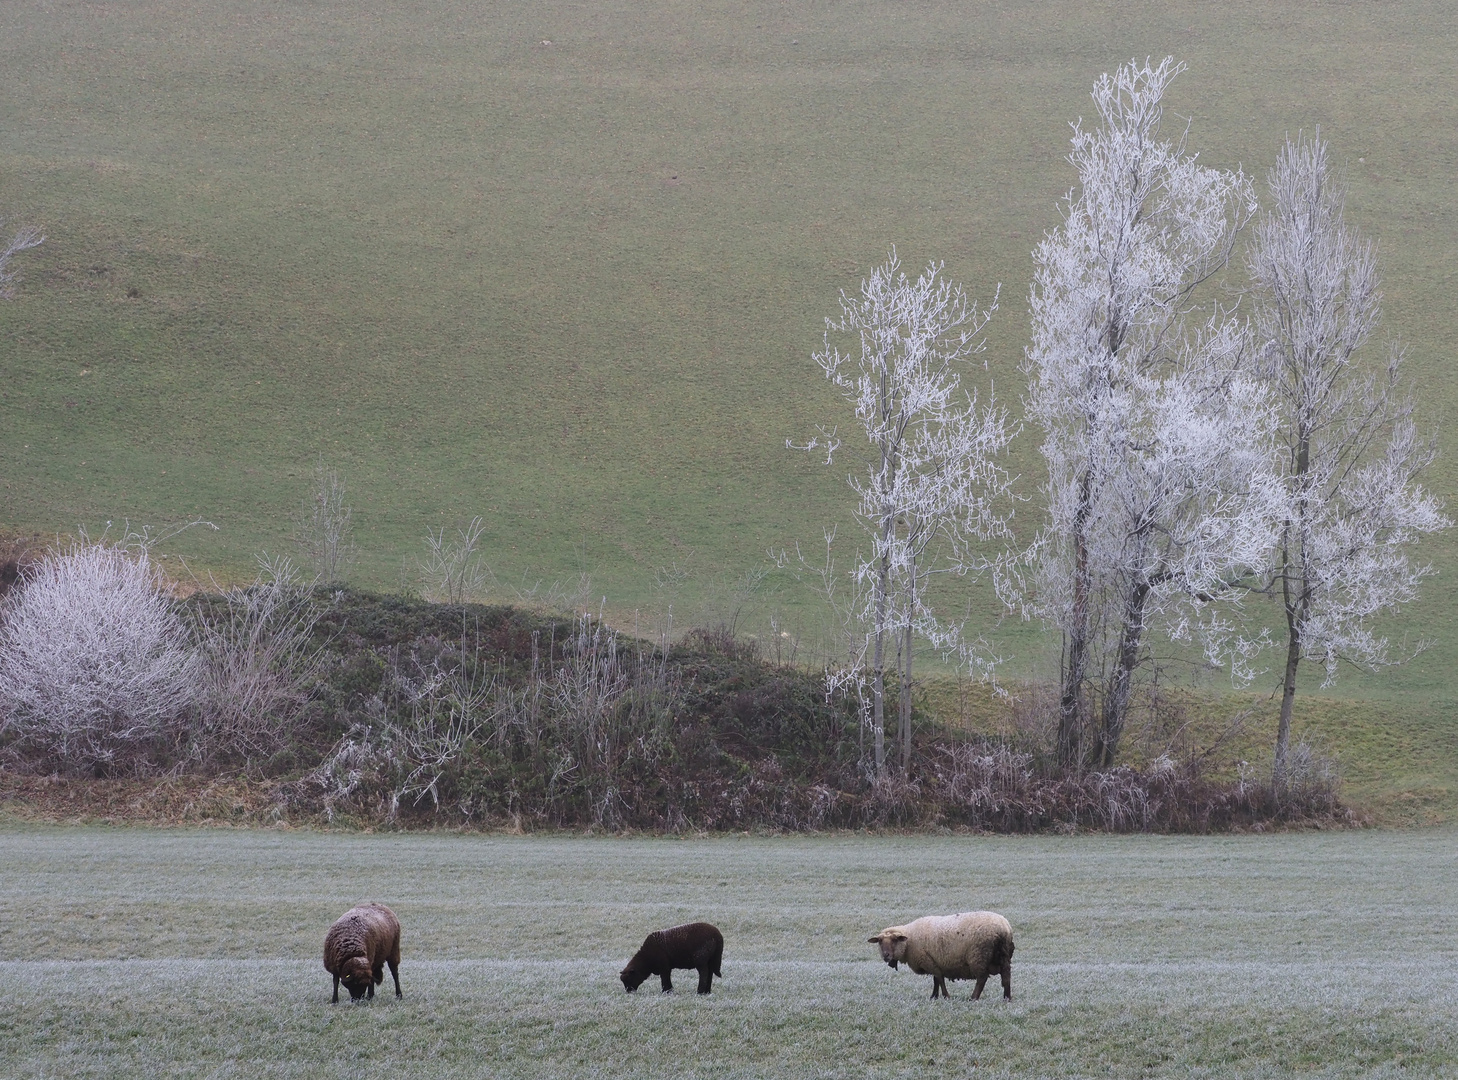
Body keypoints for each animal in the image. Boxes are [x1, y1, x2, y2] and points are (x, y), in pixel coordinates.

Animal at [863, 903, 1014, 996]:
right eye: (880, 941)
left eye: (895, 940)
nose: (886, 955)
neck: (909, 940)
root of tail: (1002, 929)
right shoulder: (934, 961)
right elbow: (936, 980)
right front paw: (934, 996)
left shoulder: (928, 960)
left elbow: (939, 979)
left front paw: (945, 996)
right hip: (1004, 957)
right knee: (1006, 977)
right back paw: (1007, 998)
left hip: (978, 956)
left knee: (982, 979)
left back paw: (973, 998)